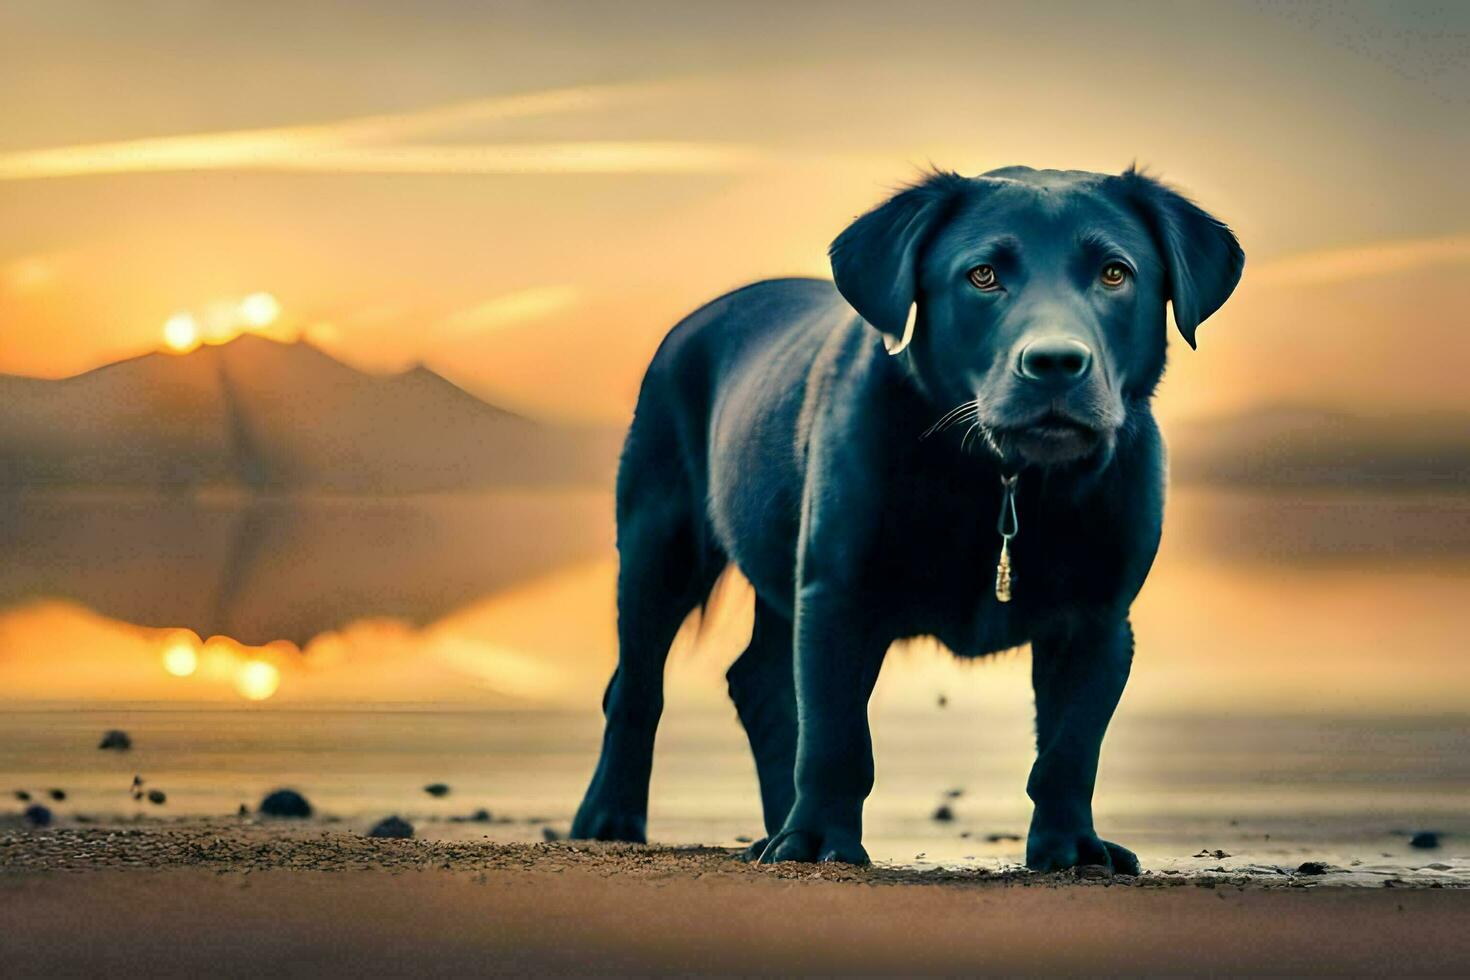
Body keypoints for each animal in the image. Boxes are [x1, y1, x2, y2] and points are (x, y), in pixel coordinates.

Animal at [570, 163, 1240, 875]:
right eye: (983, 275)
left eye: (1115, 273)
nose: (1056, 362)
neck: (1005, 478)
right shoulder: (839, 592)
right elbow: (835, 735)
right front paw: (817, 842)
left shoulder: (1099, 617)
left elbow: (1070, 745)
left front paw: (1071, 848)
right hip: (660, 538)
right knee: (638, 687)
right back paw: (612, 819)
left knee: (760, 685)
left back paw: (770, 829)